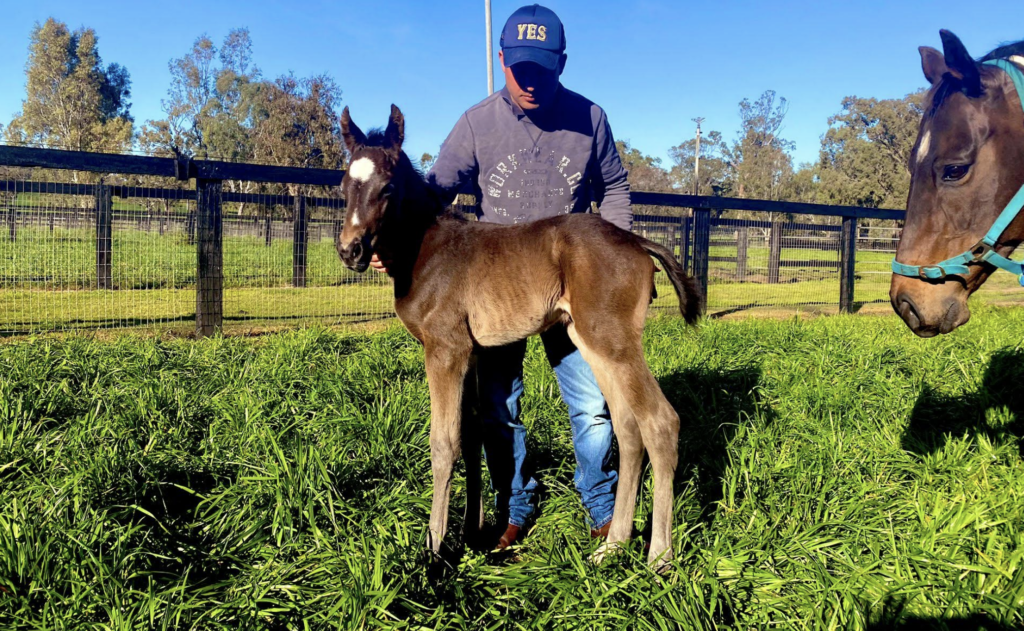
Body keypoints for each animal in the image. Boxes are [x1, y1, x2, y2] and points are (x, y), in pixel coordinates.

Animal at [334, 105, 703, 569]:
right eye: (344, 185)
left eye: (387, 187)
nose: (350, 250)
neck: (427, 251)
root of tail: (637, 242)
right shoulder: (471, 353)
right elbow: (471, 435)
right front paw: (471, 534)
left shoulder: (445, 349)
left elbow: (443, 443)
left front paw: (434, 550)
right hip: (592, 341)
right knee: (627, 428)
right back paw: (613, 545)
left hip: (612, 340)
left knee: (659, 422)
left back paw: (659, 558)